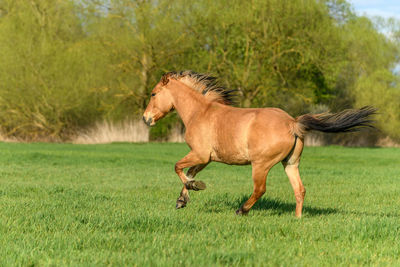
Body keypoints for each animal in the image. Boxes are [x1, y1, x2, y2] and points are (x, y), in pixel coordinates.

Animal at [141, 70, 376, 218]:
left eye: (153, 93)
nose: (145, 119)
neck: (200, 112)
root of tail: (292, 123)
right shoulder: (206, 158)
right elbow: (189, 172)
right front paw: (182, 199)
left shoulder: (200, 154)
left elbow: (178, 168)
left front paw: (195, 188)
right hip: (290, 163)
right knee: (299, 190)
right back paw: (297, 219)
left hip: (261, 165)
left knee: (260, 189)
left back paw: (241, 211)